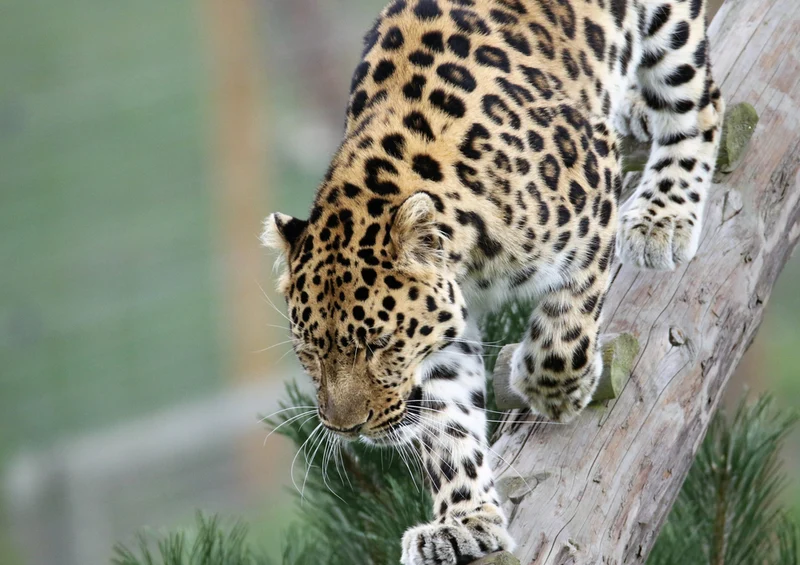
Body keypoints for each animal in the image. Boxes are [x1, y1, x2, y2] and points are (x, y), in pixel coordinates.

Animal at [261, 0, 724, 562]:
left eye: (380, 344)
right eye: (309, 353)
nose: (346, 428)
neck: (471, 260)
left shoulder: (594, 188)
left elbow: (567, 327)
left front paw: (555, 392)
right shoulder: (446, 330)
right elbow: (448, 426)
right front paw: (462, 522)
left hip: (669, 30)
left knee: (700, 103)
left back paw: (664, 215)